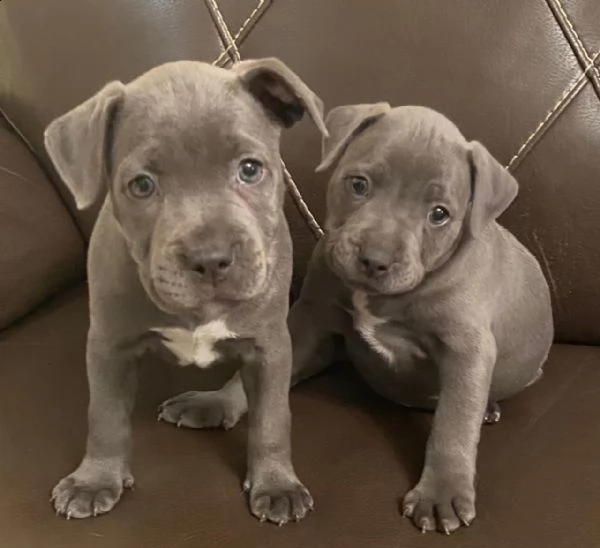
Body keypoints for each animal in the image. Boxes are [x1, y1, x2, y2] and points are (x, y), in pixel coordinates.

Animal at [45, 57, 328, 524]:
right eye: (142, 185)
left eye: (250, 169)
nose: (211, 257)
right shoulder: (108, 346)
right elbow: (104, 415)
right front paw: (95, 479)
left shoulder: (271, 346)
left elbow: (272, 418)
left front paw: (276, 483)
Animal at [169, 104, 552, 536]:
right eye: (359, 184)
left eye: (439, 214)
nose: (375, 259)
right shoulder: (308, 321)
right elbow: (255, 382)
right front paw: (216, 400)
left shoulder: (466, 350)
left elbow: (453, 422)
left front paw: (441, 491)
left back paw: (486, 409)